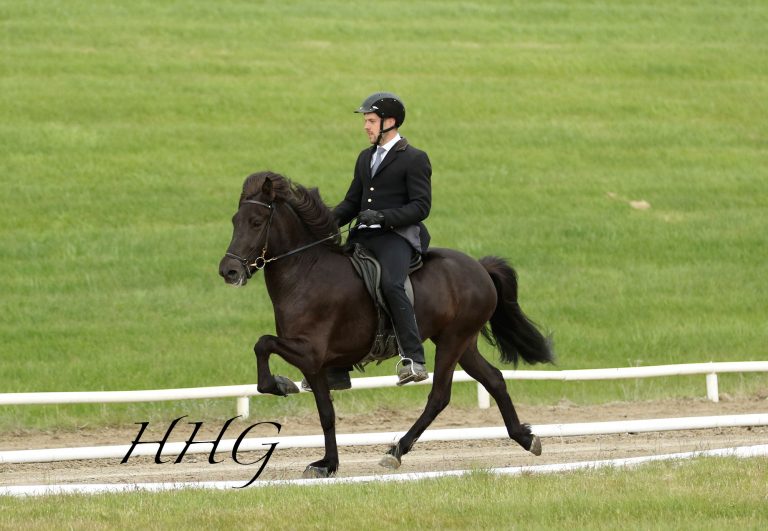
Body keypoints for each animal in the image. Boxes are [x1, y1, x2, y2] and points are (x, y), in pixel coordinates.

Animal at [218, 171, 554, 478]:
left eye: (256, 222)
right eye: (235, 221)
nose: (228, 271)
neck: (306, 271)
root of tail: (480, 267)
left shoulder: (309, 352)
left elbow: (263, 343)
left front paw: (279, 385)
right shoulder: (315, 365)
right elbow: (326, 412)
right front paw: (327, 463)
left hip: (453, 340)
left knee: (439, 396)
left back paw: (396, 451)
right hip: (463, 341)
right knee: (494, 379)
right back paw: (526, 438)